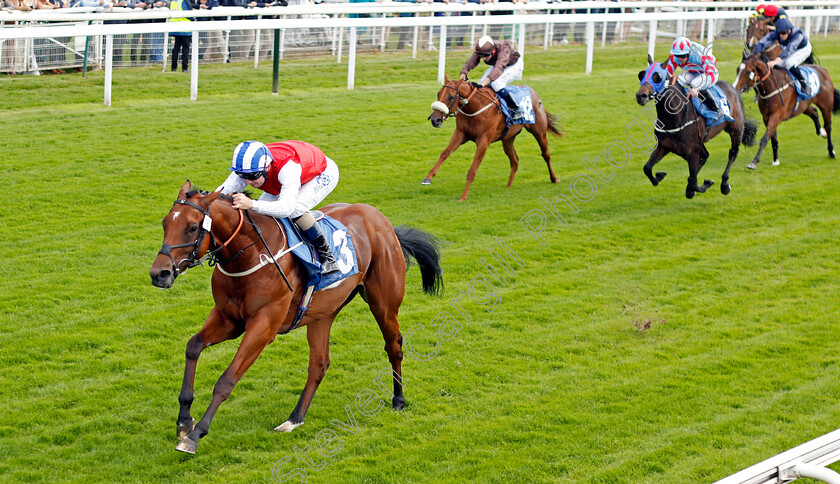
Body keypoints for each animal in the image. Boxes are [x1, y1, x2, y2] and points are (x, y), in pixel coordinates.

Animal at [148, 181, 442, 454]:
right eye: (165, 223)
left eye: (192, 227)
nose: (159, 274)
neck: (250, 255)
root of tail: (382, 221)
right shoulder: (228, 320)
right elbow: (193, 346)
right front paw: (184, 420)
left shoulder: (263, 327)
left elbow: (227, 380)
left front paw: (195, 435)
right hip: (323, 313)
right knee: (319, 364)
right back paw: (295, 418)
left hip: (383, 303)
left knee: (394, 346)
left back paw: (398, 400)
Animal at [424, 75, 560, 202]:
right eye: (438, 94)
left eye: (451, 97)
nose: (435, 120)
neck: (476, 106)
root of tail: (534, 93)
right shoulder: (460, 134)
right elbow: (445, 153)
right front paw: (428, 178)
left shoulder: (484, 140)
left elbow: (472, 170)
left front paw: (463, 196)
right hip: (508, 139)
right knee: (514, 160)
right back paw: (509, 186)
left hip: (540, 133)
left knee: (546, 155)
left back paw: (554, 178)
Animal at [632, 56, 756, 199]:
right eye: (642, 75)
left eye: (657, 77)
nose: (640, 96)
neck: (675, 118)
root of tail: (734, 89)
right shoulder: (664, 146)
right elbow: (647, 168)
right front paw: (660, 175)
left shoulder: (692, 152)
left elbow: (692, 183)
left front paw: (704, 184)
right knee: (706, 156)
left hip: (736, 130)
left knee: (732, 153)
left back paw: (725, 184)